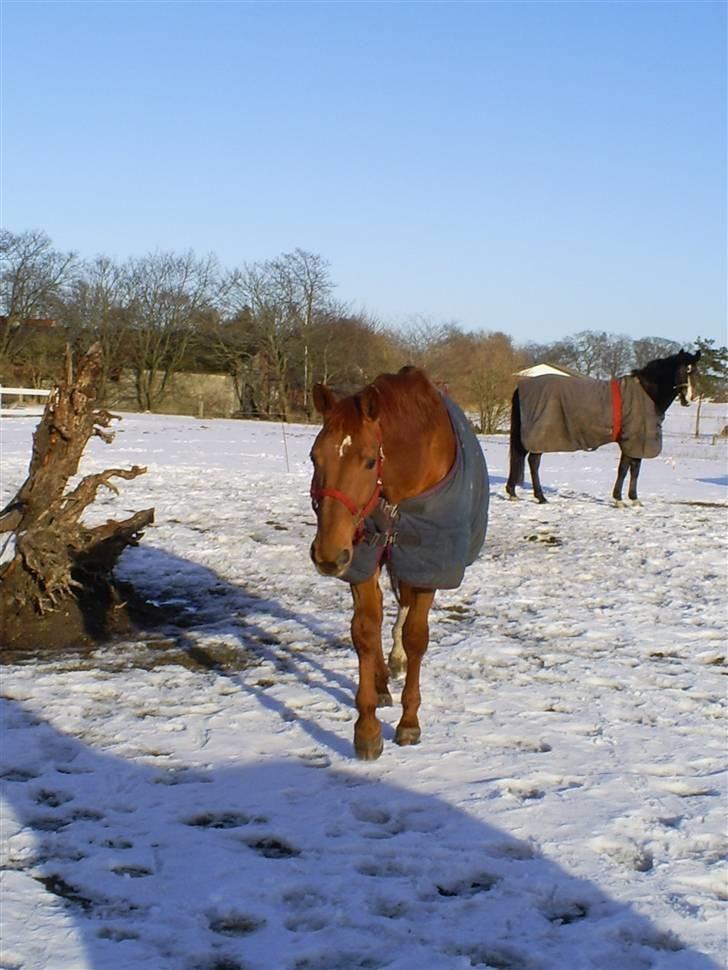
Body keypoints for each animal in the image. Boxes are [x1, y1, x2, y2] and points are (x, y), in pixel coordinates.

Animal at [308, 366, 490, 760]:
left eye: (368, 460)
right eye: (314, 457)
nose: (328, 555)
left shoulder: (428, 563)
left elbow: (416, 636)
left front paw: (409, 722)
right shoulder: (361, 558)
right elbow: (364, 631)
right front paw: (367, 729)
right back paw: (380, 682)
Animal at [506, 348, 700, 502]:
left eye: (695, 372)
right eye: (681, 370)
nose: (689, 398)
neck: (646, 393)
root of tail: (522, 387)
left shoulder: (639, 442)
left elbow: (635, 469)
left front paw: (634, 498)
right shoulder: (630, 440)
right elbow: (624, 469)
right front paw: (618, 499)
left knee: (521, 458)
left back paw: (513, 492)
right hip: (539, 437)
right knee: (533, 462)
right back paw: (540, 497)